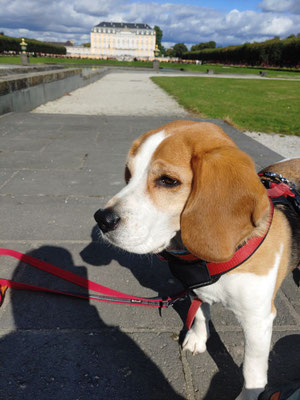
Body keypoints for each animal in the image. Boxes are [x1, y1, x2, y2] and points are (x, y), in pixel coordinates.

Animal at [94, 121, 300, 400]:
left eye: (168, 181)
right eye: (129, 174)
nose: (102, 219)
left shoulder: (258, 320)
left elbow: (252, 370)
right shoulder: (195, 288)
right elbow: (201, 313)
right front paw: (197, 339)